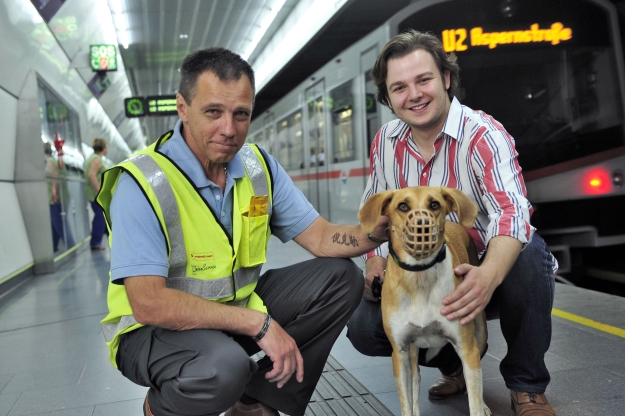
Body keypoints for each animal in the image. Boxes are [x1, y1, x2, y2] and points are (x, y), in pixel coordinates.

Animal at [358, 186, 490, 416]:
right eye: (403, 206)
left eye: (434, 204)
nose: (422, 226)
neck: (420, 277)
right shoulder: (400, 353)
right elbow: (407, 402)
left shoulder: (467, 348)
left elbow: (474, 401)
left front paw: (478, 406)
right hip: (412, 354)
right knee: (416, 379)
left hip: (479, 333)